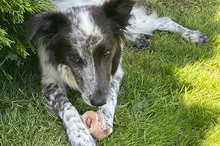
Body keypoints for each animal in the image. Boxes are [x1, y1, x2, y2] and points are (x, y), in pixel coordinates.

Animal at [26, 0, 209, 145]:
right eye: (74, 58)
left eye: (107, 52)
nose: (97, 101)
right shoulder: (50, 81)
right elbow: (68, 108)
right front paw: (81, 136)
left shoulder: (114, 72)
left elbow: (111, 97)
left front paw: (104, 119)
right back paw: (139, 39)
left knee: (163, 21)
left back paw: (193, 36)